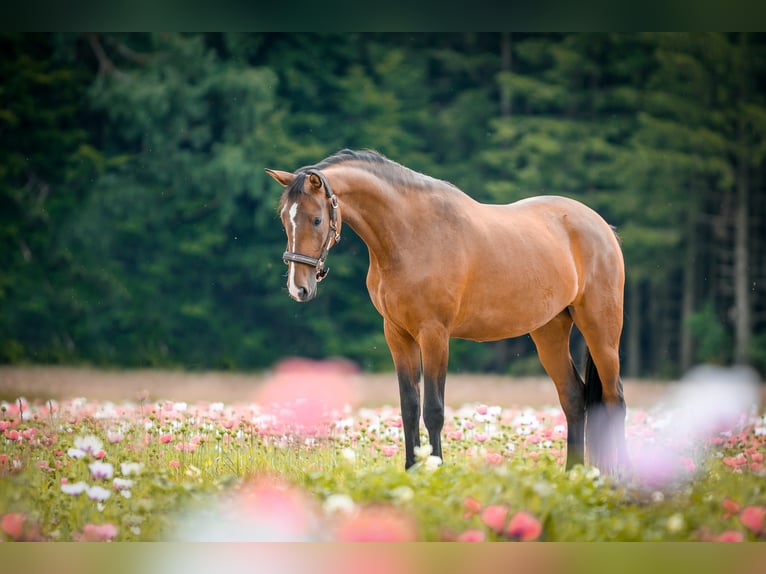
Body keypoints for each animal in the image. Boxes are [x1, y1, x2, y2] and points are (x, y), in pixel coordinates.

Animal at [268, 150, 632, 476]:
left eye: (317, 219)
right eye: (285, 219)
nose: (298, 288)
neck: (410, 235)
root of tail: (602, 227)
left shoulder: (434, 334)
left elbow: (433, 409)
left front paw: (436, 469)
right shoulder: (397, 334)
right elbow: (409, 406)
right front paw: (413, 470)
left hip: (601, 331)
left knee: (614, 399)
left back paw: (621, 478)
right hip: (549, 330)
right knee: (573, 398)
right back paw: (574, 474)